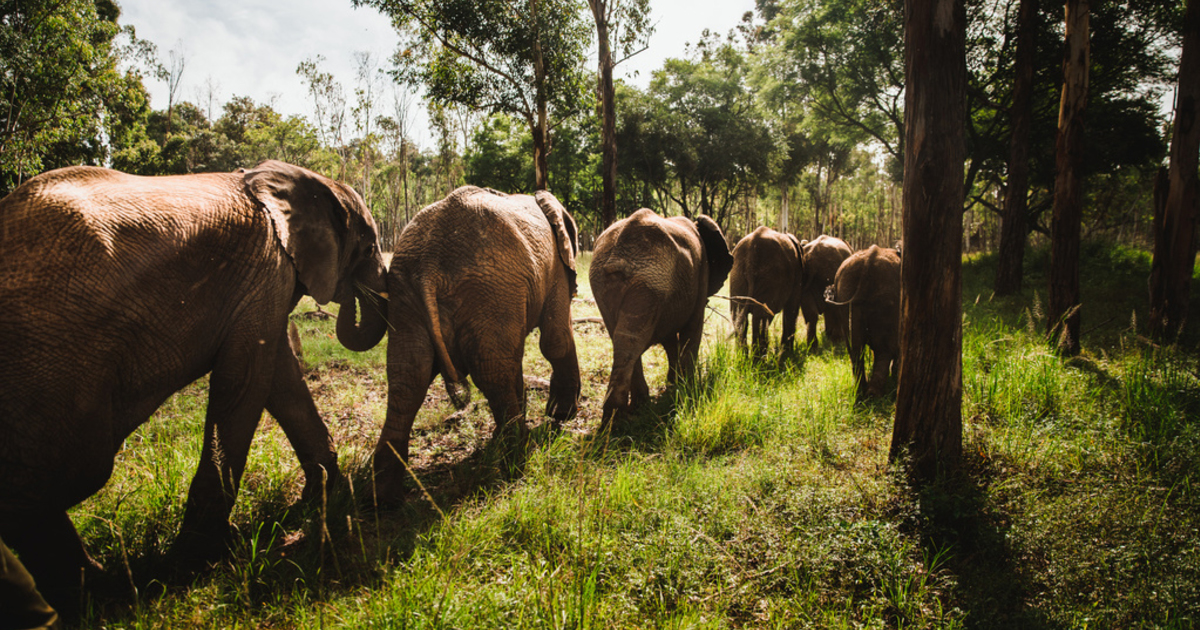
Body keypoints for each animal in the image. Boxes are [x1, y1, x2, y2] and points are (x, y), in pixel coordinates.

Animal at [0, 159, 386, 607]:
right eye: (369, 247)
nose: (356, 294)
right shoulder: (266, 271)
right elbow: (247, 381)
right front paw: (201, 560)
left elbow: (278, 375)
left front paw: (319, 497)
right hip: (51, 363)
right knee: (71, 474)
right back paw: (105, 591)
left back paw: (94, 590)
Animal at [372, 184, 583, 504]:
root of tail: (429, 266)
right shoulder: (555, 270)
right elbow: (556, 340)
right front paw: (562, 415)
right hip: (490, 290)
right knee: (493, 373)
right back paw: (515, 461)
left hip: (406, 297)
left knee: (407, 378)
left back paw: (385, 498)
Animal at [588, 208, 729, 424]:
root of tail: (619, 253)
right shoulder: (701, 273)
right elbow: (692, 329)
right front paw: (687, 388)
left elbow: (670, 338)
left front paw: (674, 384)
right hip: (651, 281)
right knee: (632, 338)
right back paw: (624, 414)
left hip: (616, 282)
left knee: (623, 338)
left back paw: (622, 414)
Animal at [724, 225, 801, 355]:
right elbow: (791, 309)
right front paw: (788, 354)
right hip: (771, 276)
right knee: (761, 319)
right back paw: (759, 359)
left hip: (737, 274)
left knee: (739, 316)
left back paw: (744, 357)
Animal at [825, 243, 902, 396]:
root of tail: (869, 261)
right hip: (887, 299)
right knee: (883, 350)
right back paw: (873, 393)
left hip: (846, 292)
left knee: (855, 349)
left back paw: (861, 391)